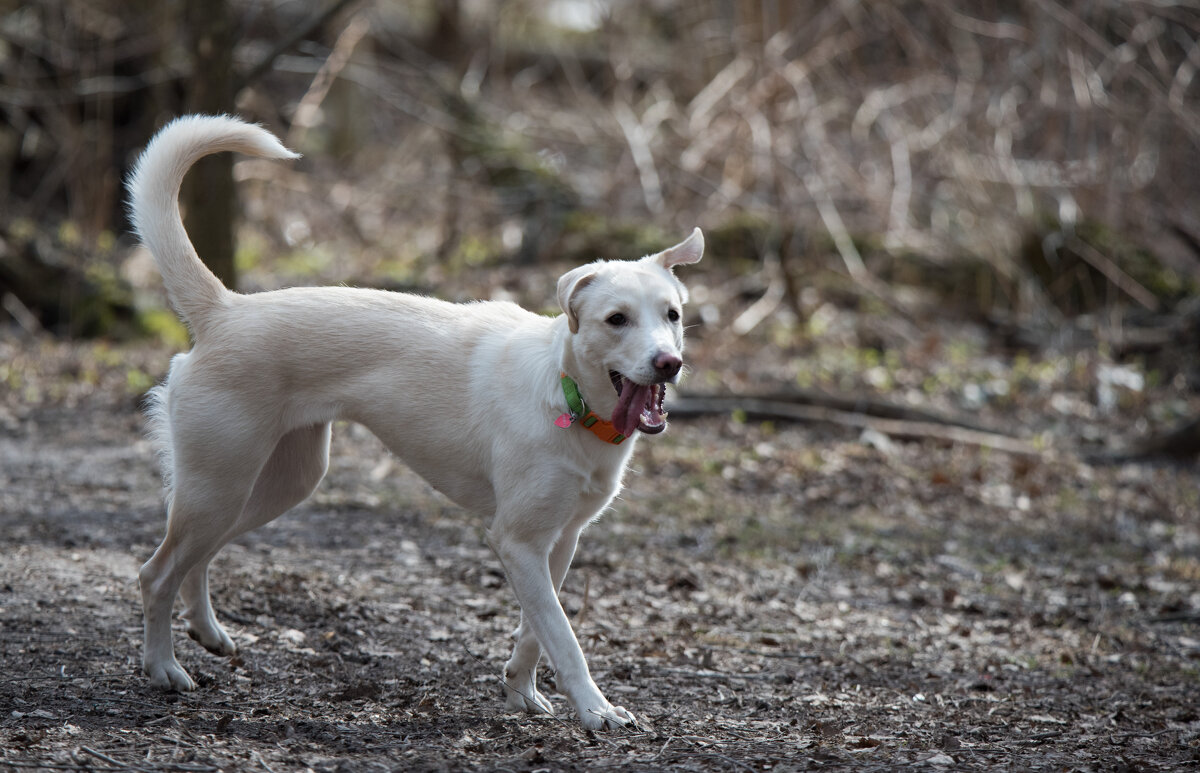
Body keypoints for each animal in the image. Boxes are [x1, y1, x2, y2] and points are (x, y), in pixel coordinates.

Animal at [129, 116, 700, 729]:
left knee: (196, 558)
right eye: (617, 319)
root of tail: (224, 310)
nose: (669, 363)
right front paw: (595, 709)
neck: (565, 392)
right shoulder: (518, 542)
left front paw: (521, 690)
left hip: (273, 485)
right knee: (156, 572)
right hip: (221, 484)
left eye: (672, 316)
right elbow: (564, 639)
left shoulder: (559, 542)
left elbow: (535, 631)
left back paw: (206, 631)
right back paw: (163, 668)